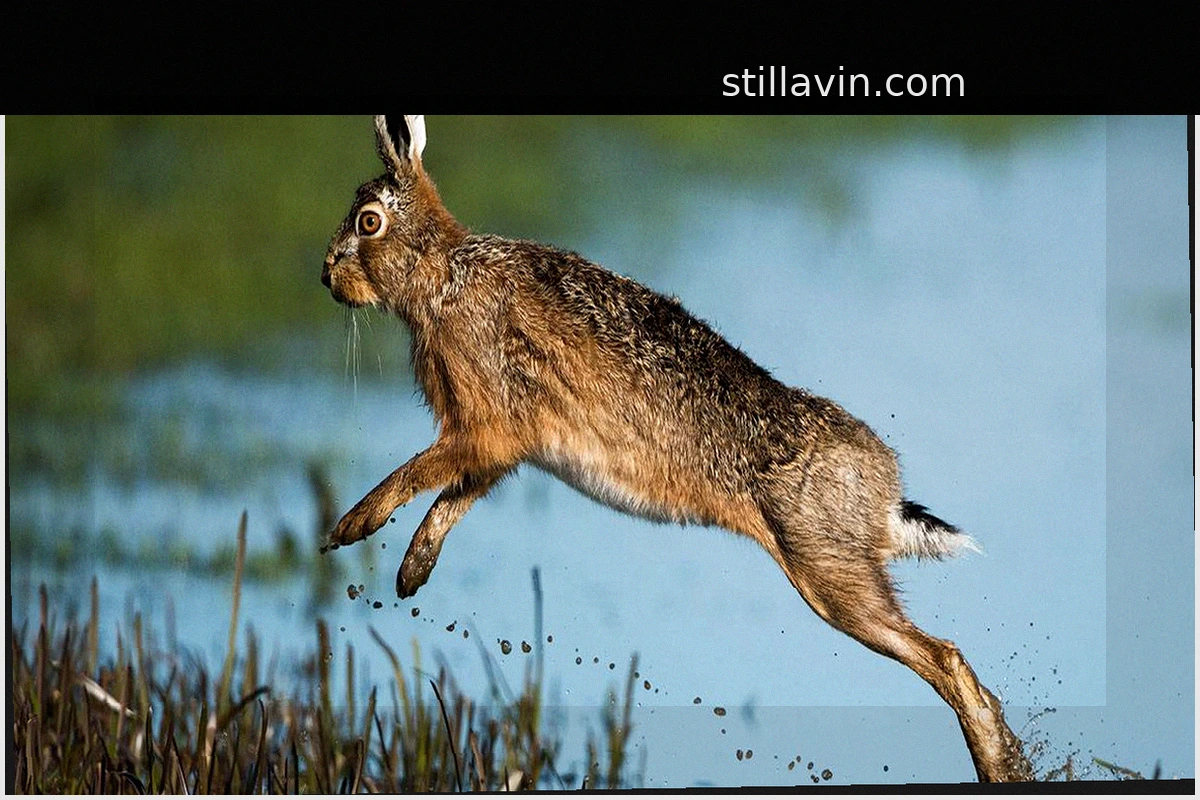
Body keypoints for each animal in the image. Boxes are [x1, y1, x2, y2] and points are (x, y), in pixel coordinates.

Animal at [318, 115, 1033, 782]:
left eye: (369, 222)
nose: (325, 275)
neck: (440, 274)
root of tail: (885, 490)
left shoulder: (482, 424)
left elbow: (420, 472)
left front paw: (350, 527)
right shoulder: (501, 446)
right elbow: (454, 497)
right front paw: (411, 574)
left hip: (827, 571)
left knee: (945, 660)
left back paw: (1000, 766)